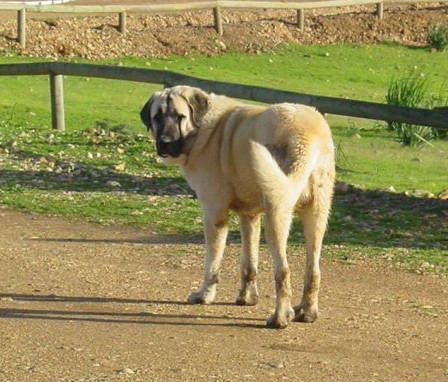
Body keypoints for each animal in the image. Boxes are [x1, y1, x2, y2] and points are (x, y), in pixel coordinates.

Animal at [142, 86, 334, 328]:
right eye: (157, 117)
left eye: (179, 116)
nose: (165, 142)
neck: (204, 129)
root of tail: (308, 134)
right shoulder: (249, 216)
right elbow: (249, 264)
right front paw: (247, 298)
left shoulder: (214, 214)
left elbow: (212, 264)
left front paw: (204, 296)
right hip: (316, 216)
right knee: (313, 271)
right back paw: (307, 313)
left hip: (276, 215)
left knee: (283, 271)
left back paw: (280, 318)